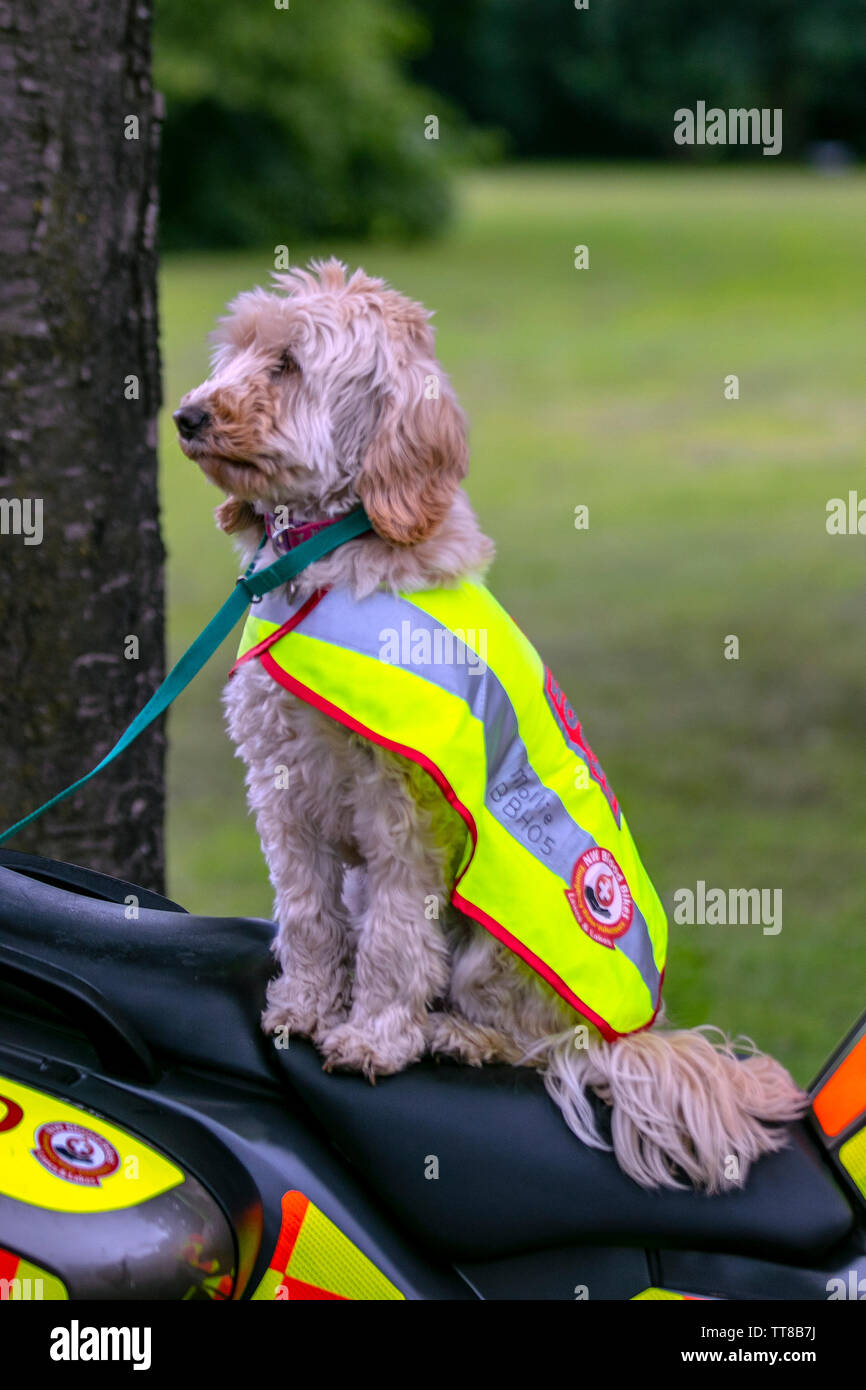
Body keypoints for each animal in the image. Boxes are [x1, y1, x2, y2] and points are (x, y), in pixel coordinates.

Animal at [174, 261, 806, 1195]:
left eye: (287, 363)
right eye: (240, 350)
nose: (186, 414)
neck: (334, 552)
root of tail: (629, 1035)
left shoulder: (403, 814)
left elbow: (396, 939)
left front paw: (372, 1037)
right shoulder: (283, 790)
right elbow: (308, 913)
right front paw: (302, 1006)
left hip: (501, 938)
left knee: (532, 1042)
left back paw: (454, 1033)